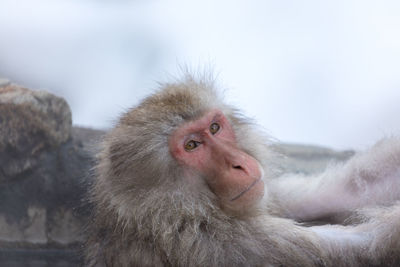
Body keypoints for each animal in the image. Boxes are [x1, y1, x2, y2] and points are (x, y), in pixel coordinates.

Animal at [84, 75, 400, 267]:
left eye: (214, 127)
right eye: (192, 145)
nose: (239, 162)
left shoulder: (264, 195)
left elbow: (347, 190)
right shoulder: (222, 246)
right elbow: (366, 246)